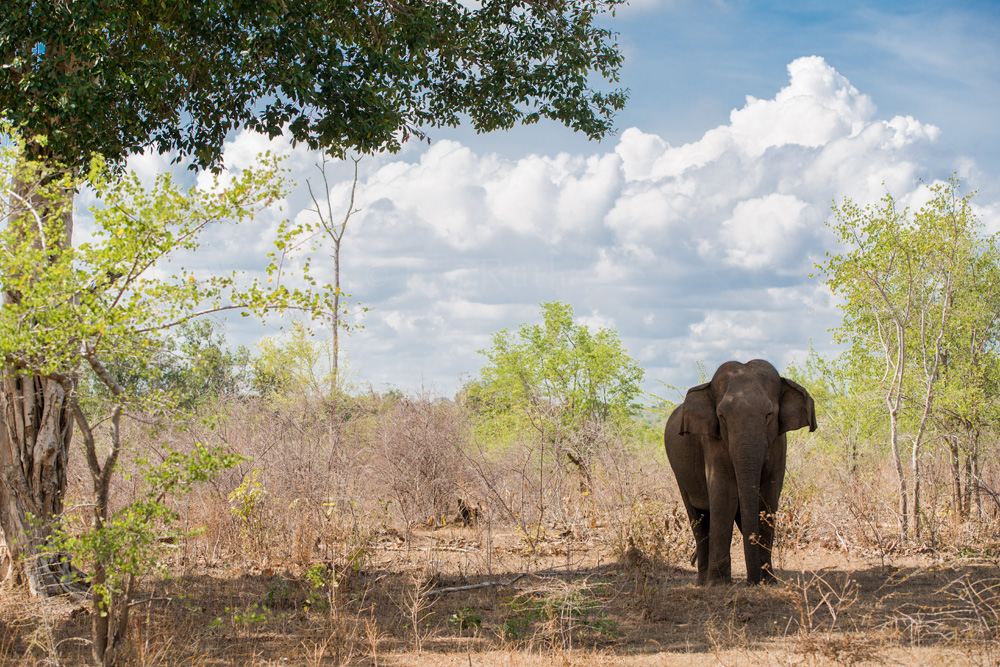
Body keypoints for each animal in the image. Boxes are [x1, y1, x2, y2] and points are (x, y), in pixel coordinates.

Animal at [660, 360, 816, 584]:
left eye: (769, 415)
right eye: (721, 417)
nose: (753, 581)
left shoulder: (779, 443)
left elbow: (768, 498)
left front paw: (768, 581)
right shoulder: (712, 441)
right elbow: (725, 494)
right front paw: (718, 584)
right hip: (679, 473)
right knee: (698, 518)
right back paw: (703, 582)